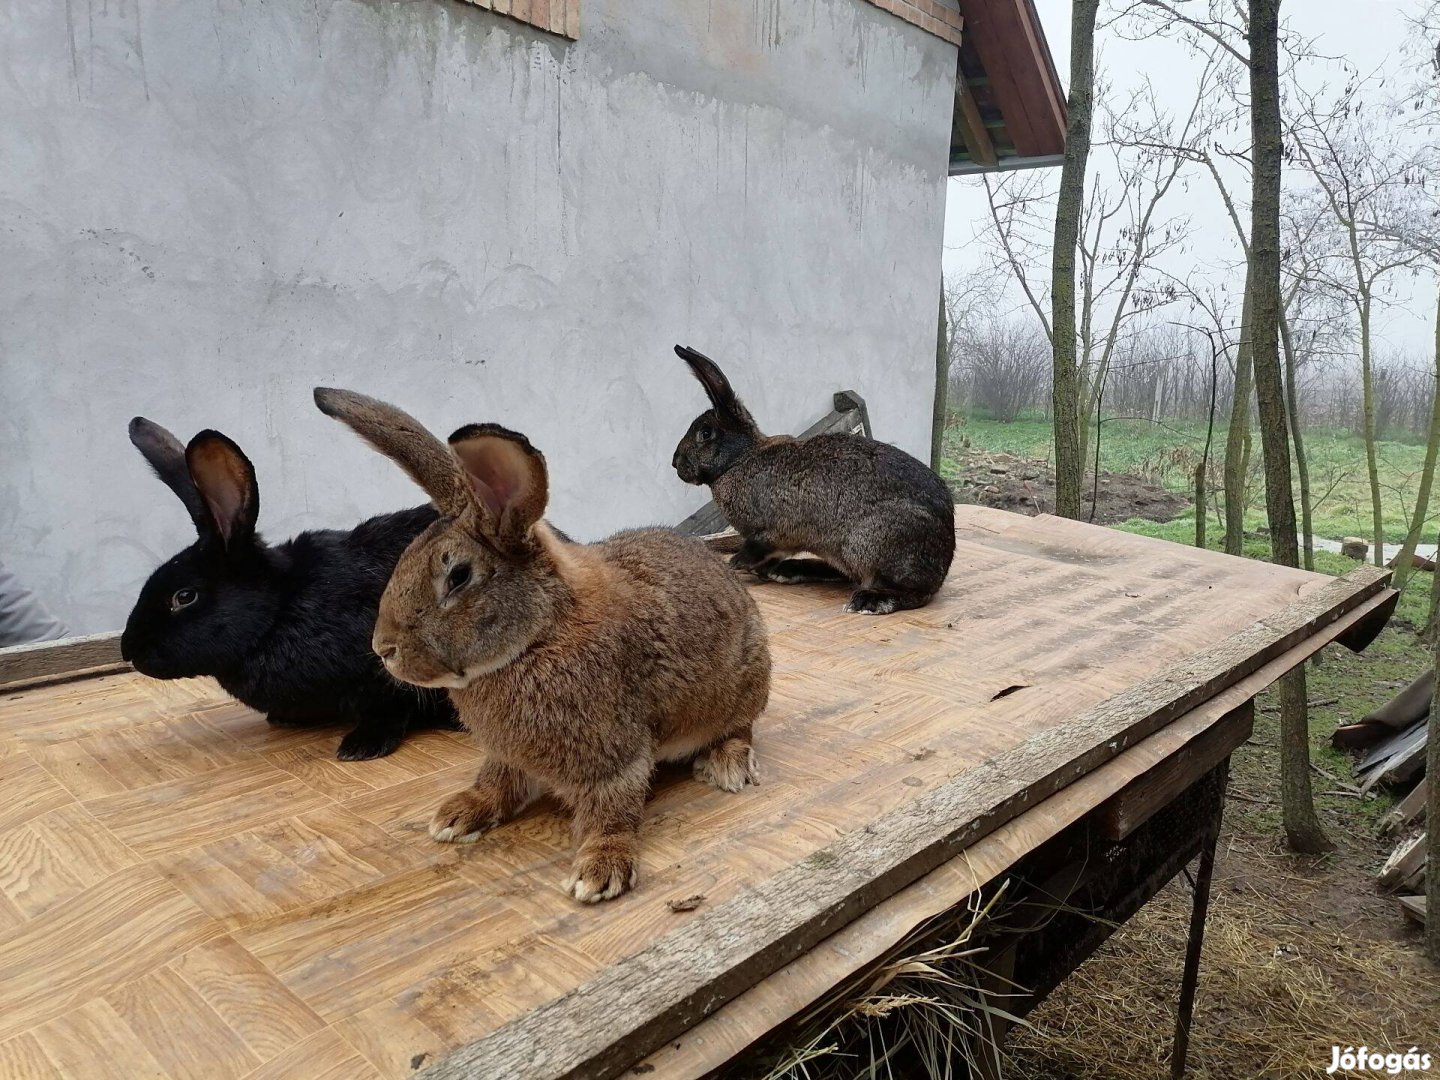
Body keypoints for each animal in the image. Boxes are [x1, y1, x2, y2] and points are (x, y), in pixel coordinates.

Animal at [123, 414, 463, 760]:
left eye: (184, 596)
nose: (128, 651)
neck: (279, 611)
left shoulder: (387, 670)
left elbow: (389, 708)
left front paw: (361, 746)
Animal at [311, 388, 771, 904]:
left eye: (458, 577)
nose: (383, 648)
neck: (540, 635)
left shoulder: (613, 755)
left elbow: (612, 810)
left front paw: (600, 871)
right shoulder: (508, 755)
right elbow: (495, 781)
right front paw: (458, 815)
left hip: (743, 689)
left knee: (740, 728)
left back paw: (726, 767)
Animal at [671, 347, 956, 616]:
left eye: (705, 433)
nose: (675, 463)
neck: (741, 459)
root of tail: (945, 555)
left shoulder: (772, 530)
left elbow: (758, 547)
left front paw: (736, 563)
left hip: (869, 544)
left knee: (914, 593)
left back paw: (868, 601)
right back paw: (789, 570)